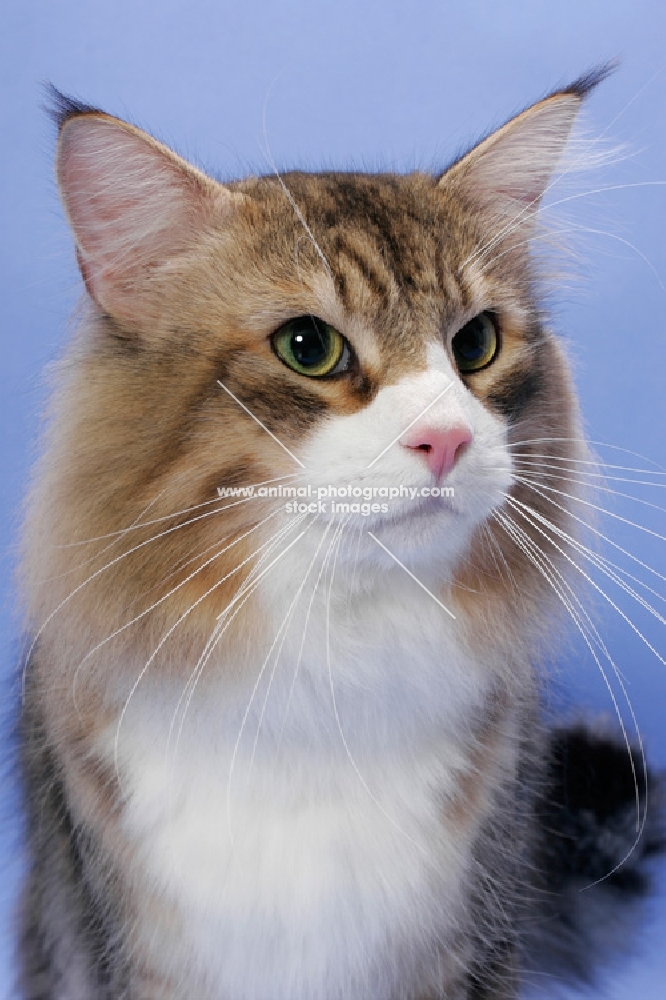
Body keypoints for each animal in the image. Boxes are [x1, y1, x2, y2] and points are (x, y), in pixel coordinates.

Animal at [18, 72, 660, 1000]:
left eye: (476, 343)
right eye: (307, 347)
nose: (446, 438)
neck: (336, 662)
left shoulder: (469, 939)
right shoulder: (133, 953)